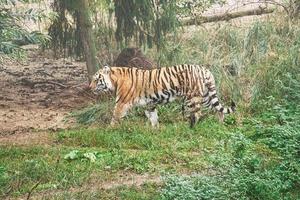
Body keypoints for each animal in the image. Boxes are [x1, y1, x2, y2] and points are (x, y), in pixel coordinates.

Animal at [88, 64, 236, 126]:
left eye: (96, 79)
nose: (89, 88)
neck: (115, 80)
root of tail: (205, 69)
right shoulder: (149, 104)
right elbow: (153, 118)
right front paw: (155, 131)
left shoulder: (121, 103)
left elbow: (115, 117)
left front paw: (109, 131)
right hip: (205, 96)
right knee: (218, 109)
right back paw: (219, 124)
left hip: (192, 97)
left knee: (197, 114)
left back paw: (190, 128)